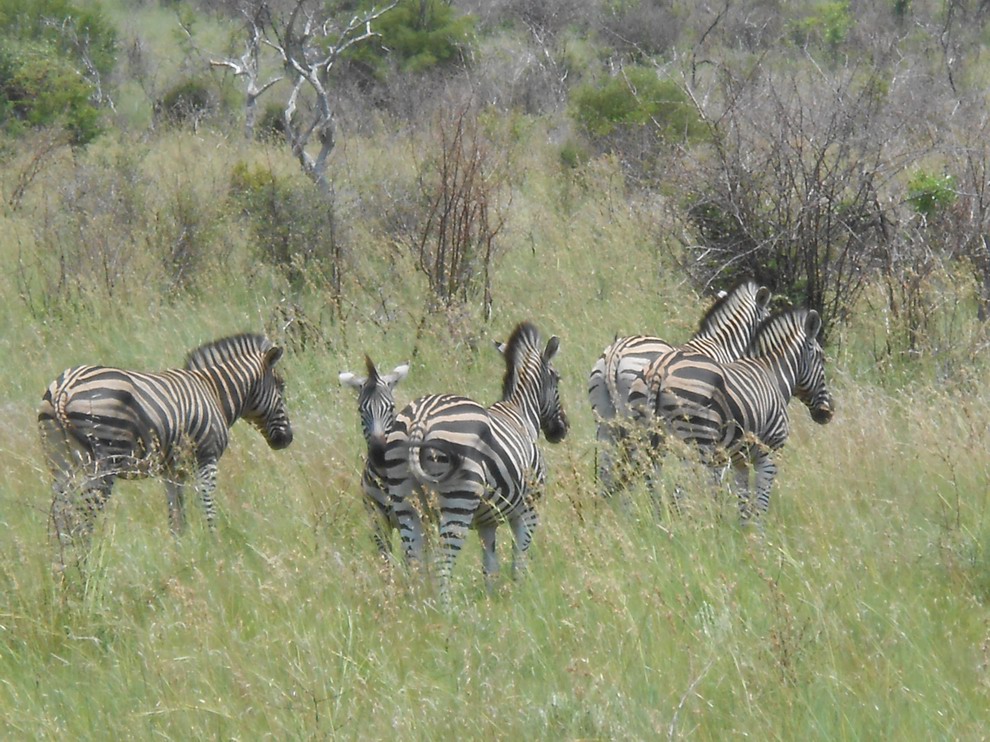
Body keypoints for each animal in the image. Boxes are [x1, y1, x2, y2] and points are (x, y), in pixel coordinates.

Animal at [38, 336, 294, 540]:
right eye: (281, 386)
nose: (287, 439)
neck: (213, 393)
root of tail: (65, 389)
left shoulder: (172, 471)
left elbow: (176, 517)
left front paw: (180, 551)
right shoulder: (207, 457)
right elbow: (207, 505)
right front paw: (214, 544)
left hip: (60, 463)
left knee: (59, 516)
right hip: (104, 464)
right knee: (80, 520)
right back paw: (80, 565)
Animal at [340, 358, 410, 560]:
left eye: (391, 408)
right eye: (360, 410)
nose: (379, 453)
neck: (385, 477)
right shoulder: (377, 520)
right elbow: (385, 559)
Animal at [386, 322, 572, 600]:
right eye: (557, 378)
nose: (563, 429)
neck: (520, 412)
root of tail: (420, 418)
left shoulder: (488, 522)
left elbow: (490, 566)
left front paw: (492, 600)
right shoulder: (529, 509)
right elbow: (519, 559)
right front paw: (520, 595)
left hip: (404, 502)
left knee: (415, 560)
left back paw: (421, 605)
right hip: (459, 501)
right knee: (442, 561)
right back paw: (447, 608)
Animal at [648, 308, 832, 524]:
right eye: (822, 358)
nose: (827, 413)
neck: (774, 376)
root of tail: (663, 369)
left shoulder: (740, 460)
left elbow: (743, 503)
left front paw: (742, 531)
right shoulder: (769, 454)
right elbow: (761, 504)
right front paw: (758, 532)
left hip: (655, 439)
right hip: (697, 445)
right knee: (678, 495)